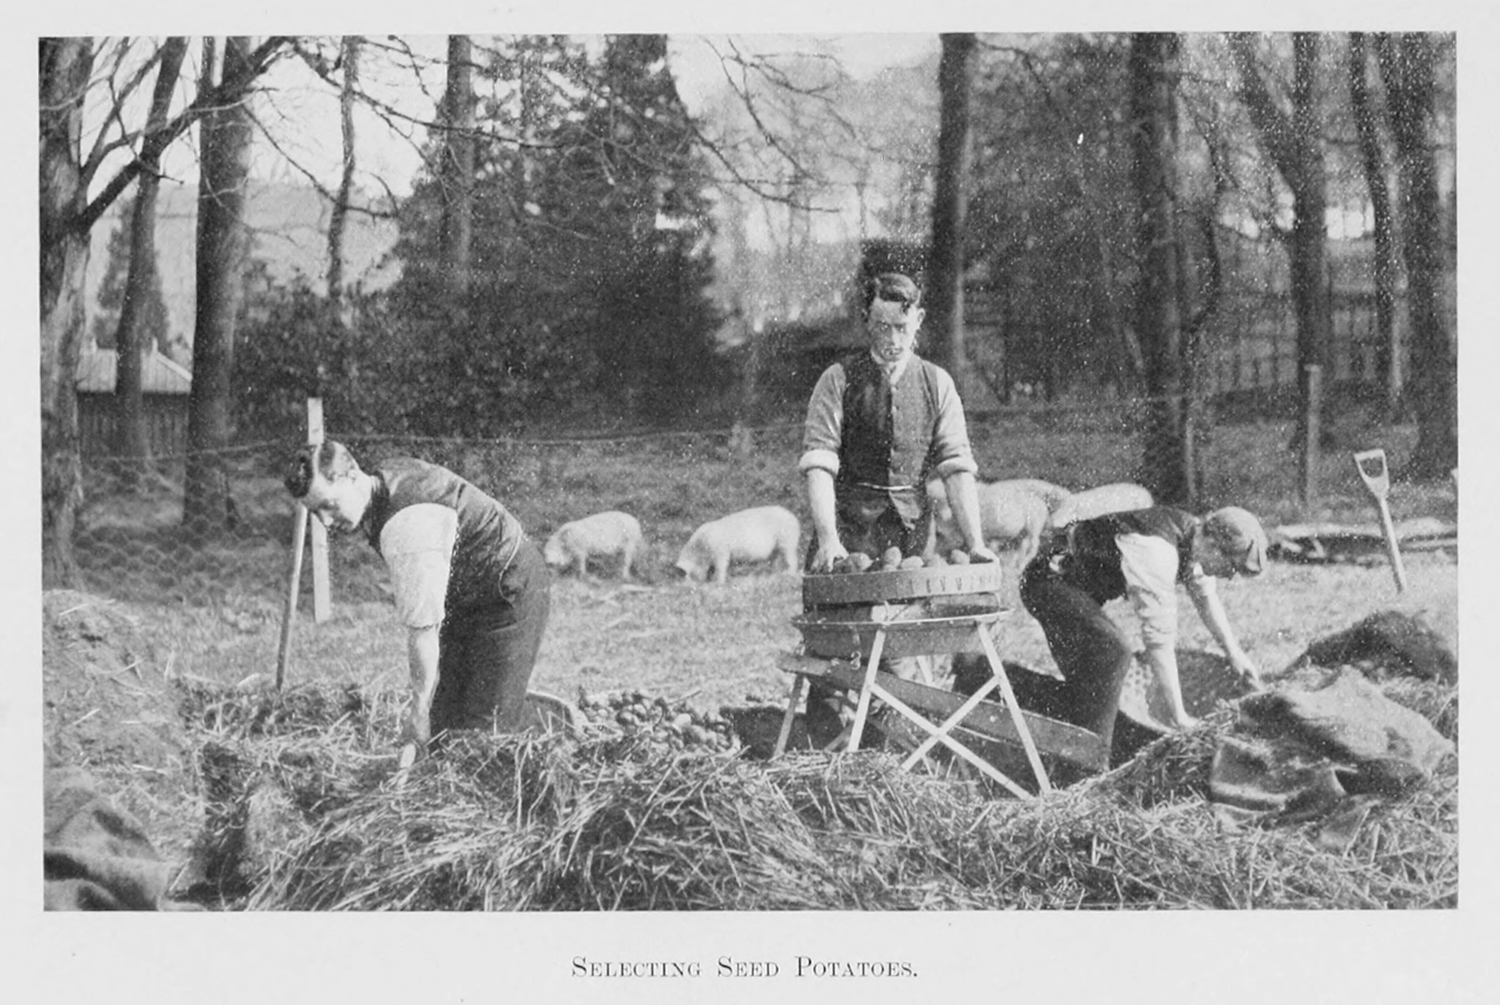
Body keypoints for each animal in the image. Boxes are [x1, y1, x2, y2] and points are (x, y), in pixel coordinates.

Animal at [675, 507, 804, 588]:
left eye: (685, 574)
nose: (686, 587)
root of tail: (794, 518)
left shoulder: (721, 552)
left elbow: (721, 568)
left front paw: (719, 583)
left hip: (788, 542)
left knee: (792, 560)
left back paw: (790, 574)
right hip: (777, 548)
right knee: (775, 560)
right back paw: (772, 574)